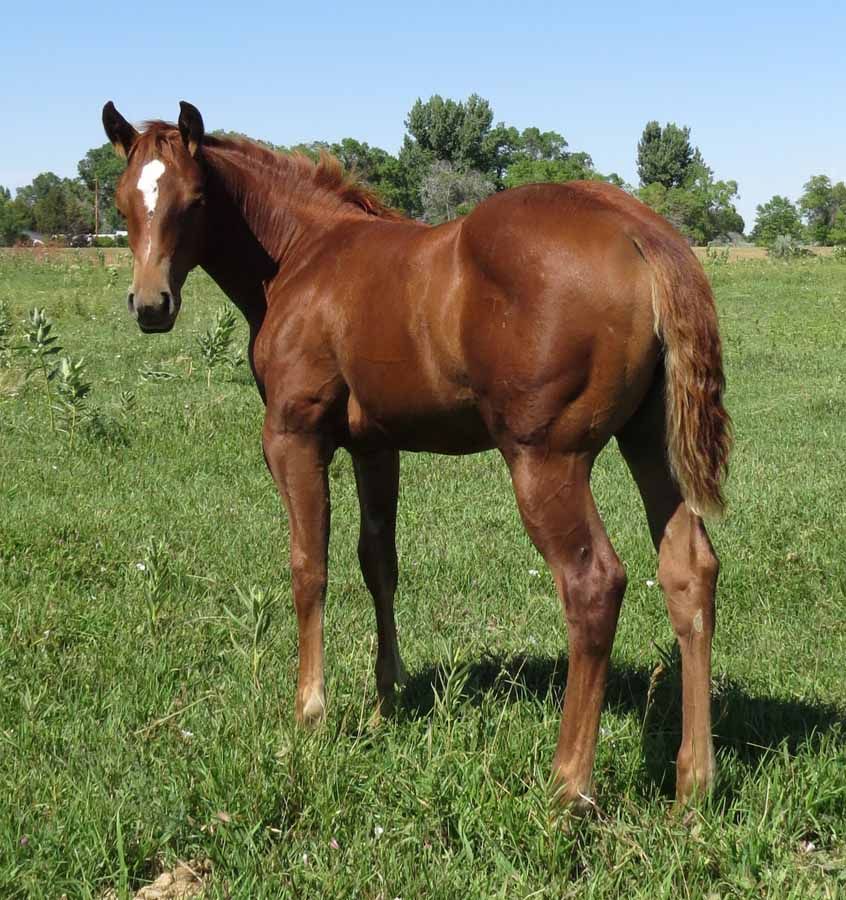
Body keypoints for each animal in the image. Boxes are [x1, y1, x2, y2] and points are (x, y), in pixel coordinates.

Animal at [102, 100, 731, 810]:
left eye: (195, 199)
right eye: (123, 200)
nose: (150, 304)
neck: (301, 255)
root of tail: (639, 230)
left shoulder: (293, 436)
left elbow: (309, 567)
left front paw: (311, 712)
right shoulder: (377, 445)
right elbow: (379, 562)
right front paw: (386, 701)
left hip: (546, 459)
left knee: (594, 583)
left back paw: (568, 786)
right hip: (650, 443)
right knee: (689, 572)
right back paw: (693, 785)